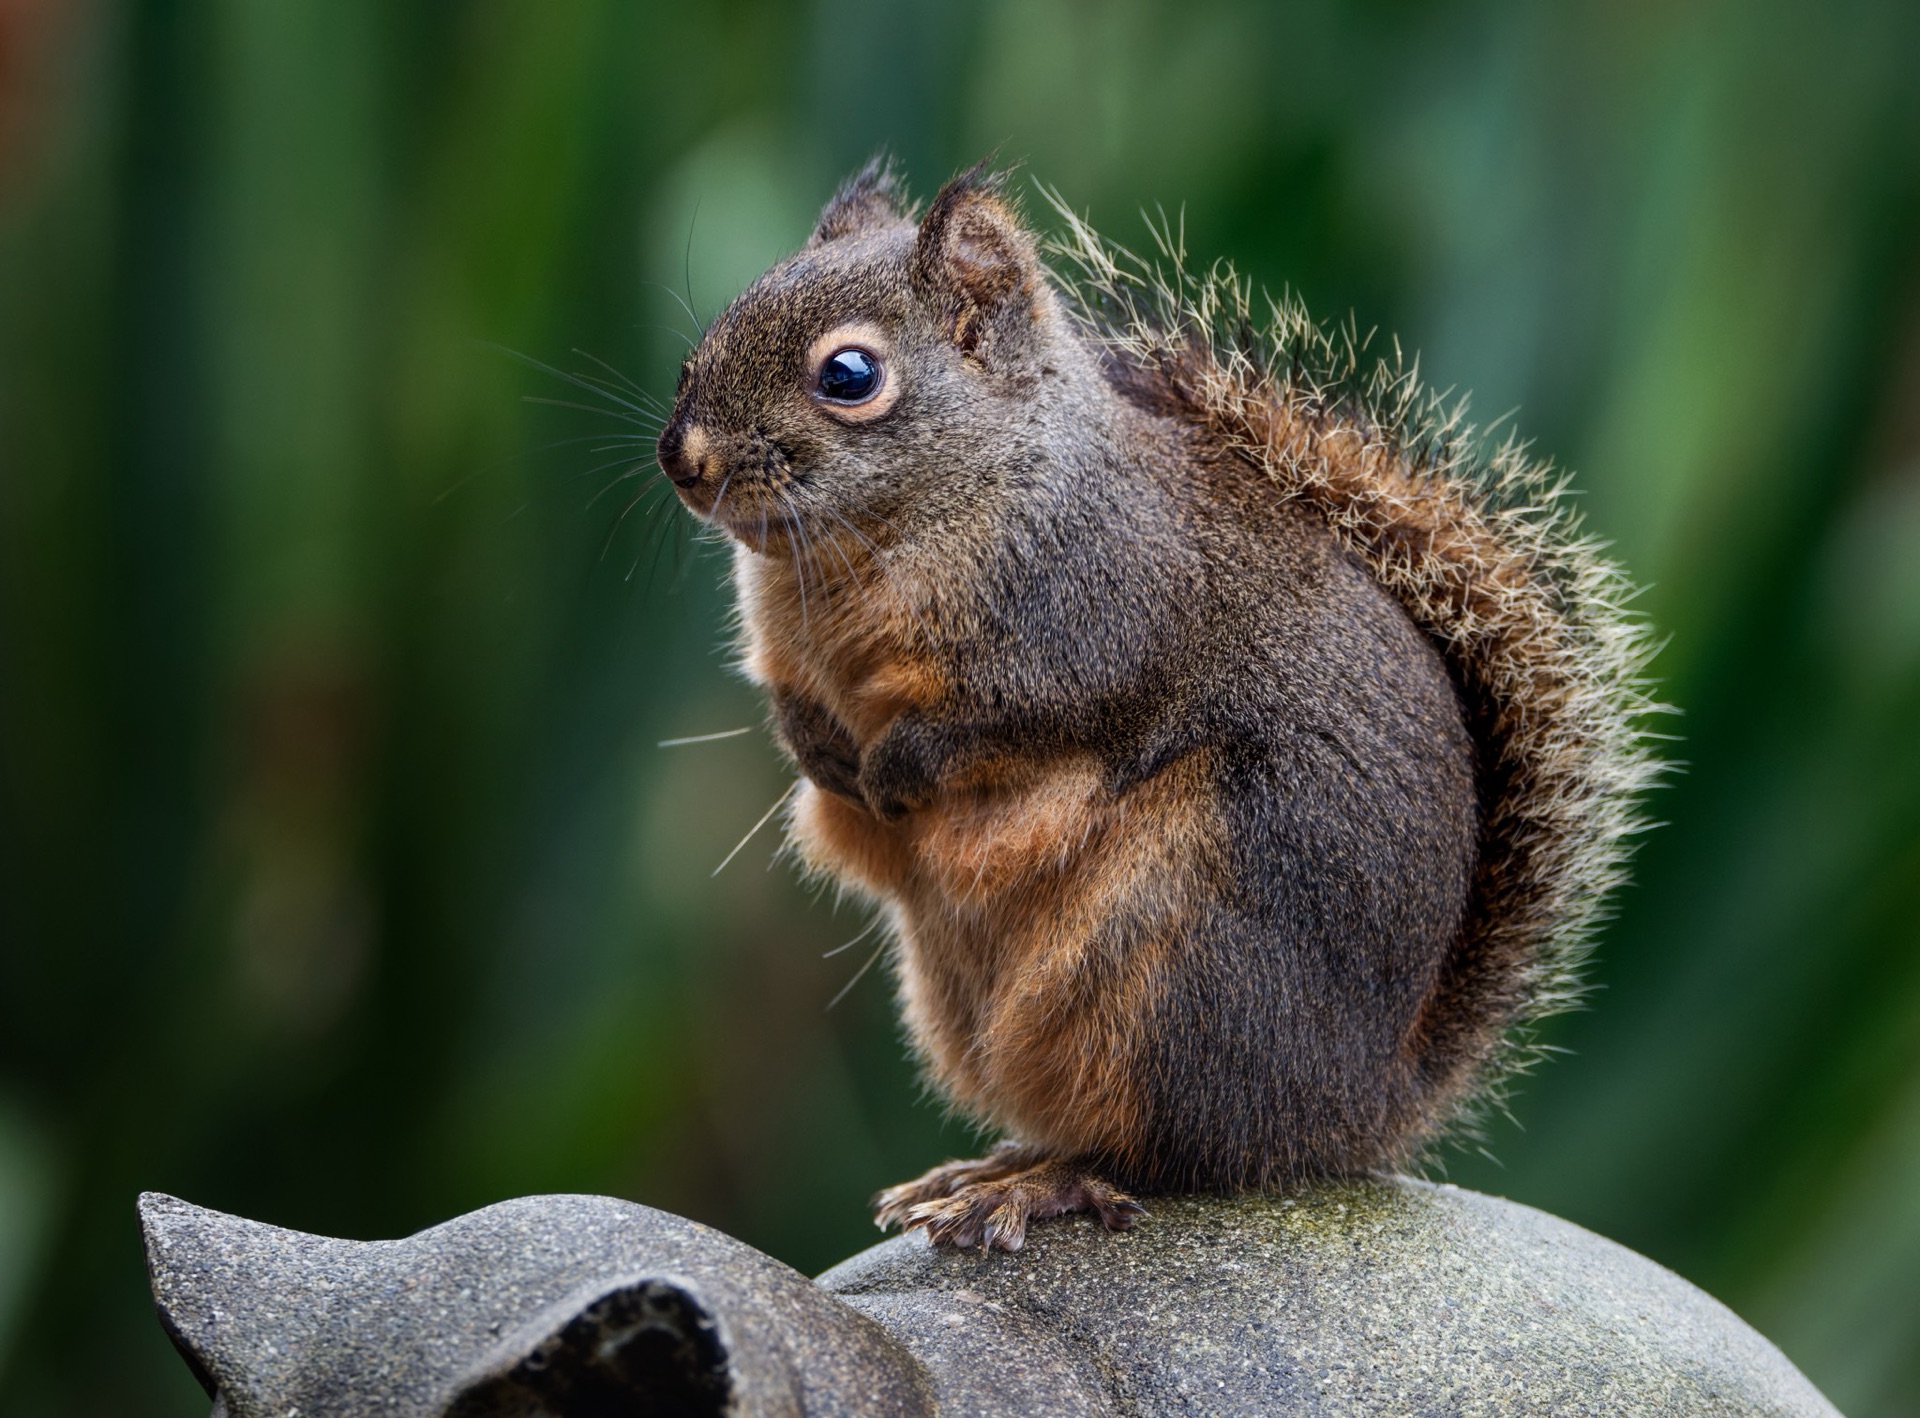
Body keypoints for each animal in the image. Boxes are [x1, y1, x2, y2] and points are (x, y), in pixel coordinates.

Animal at [656, 158, 1657, 1252]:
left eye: (848, 376)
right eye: (702, 345)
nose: (684, 458)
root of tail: (1357, 1107)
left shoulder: (1091, 628)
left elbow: (1014, 725)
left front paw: (893, 767)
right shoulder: (792, 654)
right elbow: (794, 706)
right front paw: (819, 753)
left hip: (1170, 971)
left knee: (1172, 1152)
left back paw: (1040, 1184)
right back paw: (994, 1163)